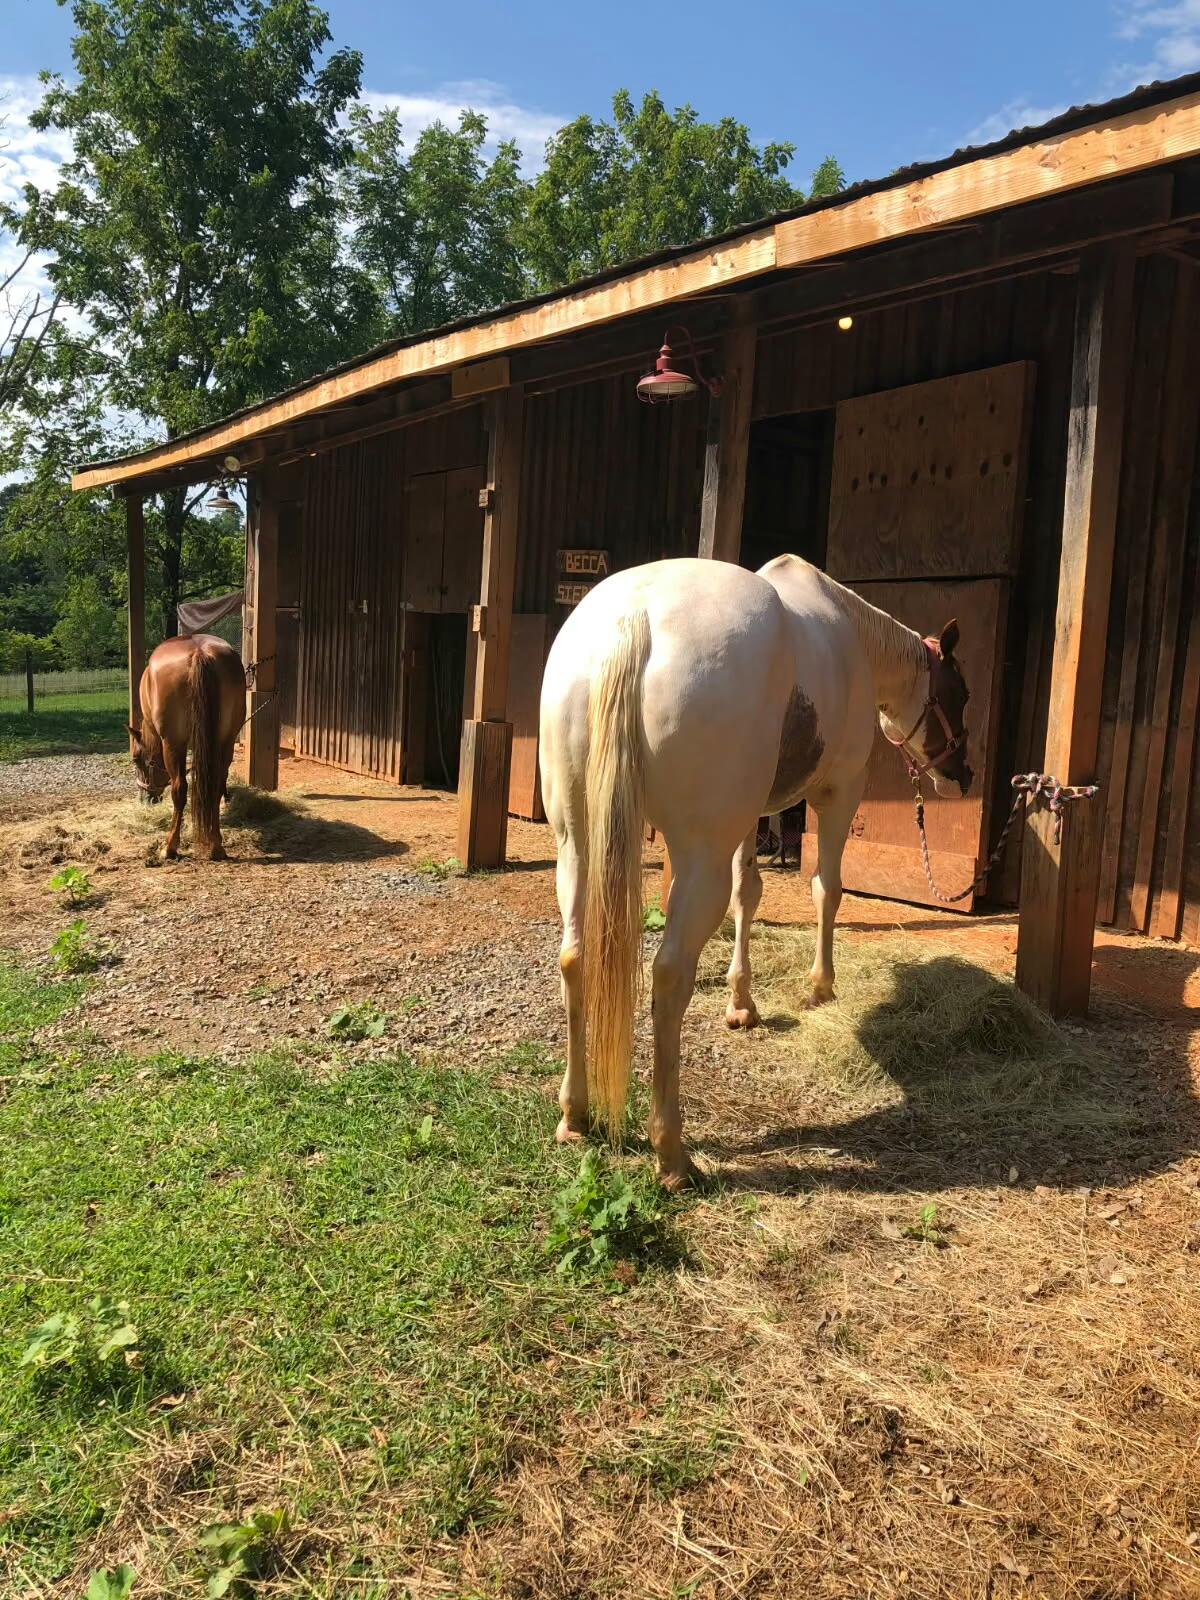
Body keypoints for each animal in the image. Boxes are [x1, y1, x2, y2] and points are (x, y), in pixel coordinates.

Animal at [128, 633, 247, 861]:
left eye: (136, 759)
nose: (145, 798)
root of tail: (200, 653)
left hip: (174, 744)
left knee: (179, 789)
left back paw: (170, 847)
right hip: (225, 742)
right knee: (215, 786)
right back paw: (216, 846)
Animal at [538, 554, 972, 1189]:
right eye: (959, 694)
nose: (962, 776)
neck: (849, 634)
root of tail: (633, 618)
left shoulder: (752, 817)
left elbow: (751, 893)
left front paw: (741, 1003)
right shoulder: (840, 792)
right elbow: (826, 888)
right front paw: (821, 986)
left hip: (577, 844)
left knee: (575, 957)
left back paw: (575, 1115)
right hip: (698, 859)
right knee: (668, 976)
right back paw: (672, 1154)